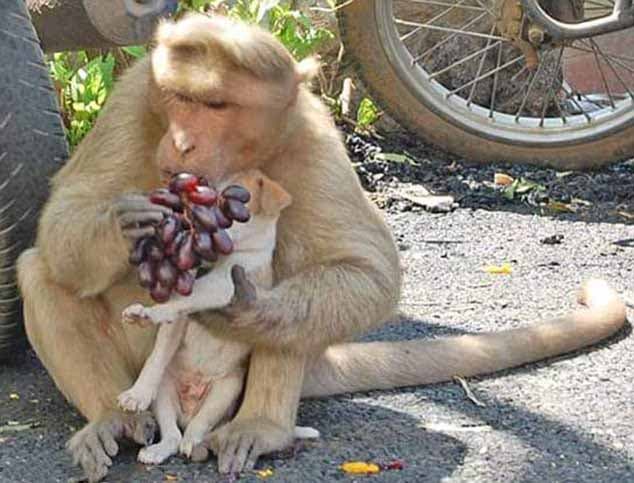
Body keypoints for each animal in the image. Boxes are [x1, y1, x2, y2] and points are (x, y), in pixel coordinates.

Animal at [116, 170, 318, 466]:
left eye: (226, 208)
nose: (189, 221)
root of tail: (189, 408)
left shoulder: (227, 286)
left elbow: (187, 299)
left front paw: (149, 313)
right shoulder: (178, 322)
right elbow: (158, 353)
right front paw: (136, 394)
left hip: (226, 391)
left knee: (197, 428)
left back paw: (196, 444)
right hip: (166, 391)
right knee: (173, 435)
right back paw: (157, 450)